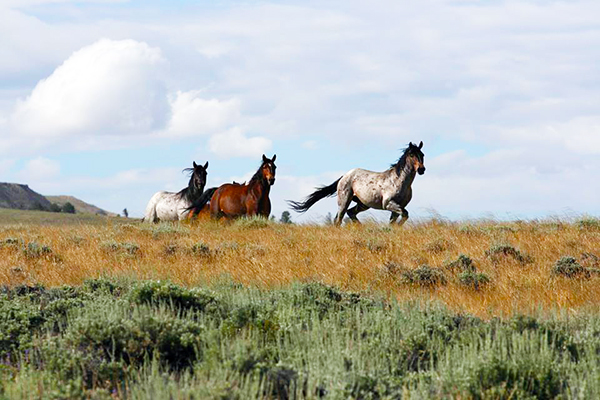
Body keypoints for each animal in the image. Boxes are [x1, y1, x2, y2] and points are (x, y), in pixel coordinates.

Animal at [288, 142, 424, 225]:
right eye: (412, 154)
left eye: (422, 154)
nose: (422, 169)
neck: (398, 181)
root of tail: (344, 176)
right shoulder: (389, 204)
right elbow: (405, 214)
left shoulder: (397, 207)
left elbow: (396, 221)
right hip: (344, 201)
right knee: (339, 219)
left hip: (362, 204)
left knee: (349, 213)